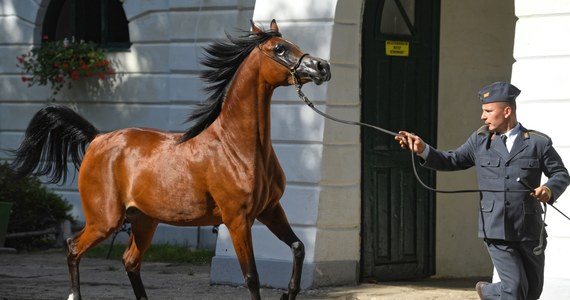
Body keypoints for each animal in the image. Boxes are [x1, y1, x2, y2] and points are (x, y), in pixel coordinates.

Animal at [11, 19, 330, 298]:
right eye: (279, 49)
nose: (322, 67)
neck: (236, 147)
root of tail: (97, 139)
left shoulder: (270, 209)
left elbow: (299, 248)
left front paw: (289, 292)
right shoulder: (237, 219)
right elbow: (251, 277)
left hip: (143, 220)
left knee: (130, 261)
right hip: (105, 221)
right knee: (73, 248)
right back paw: (73, 294)